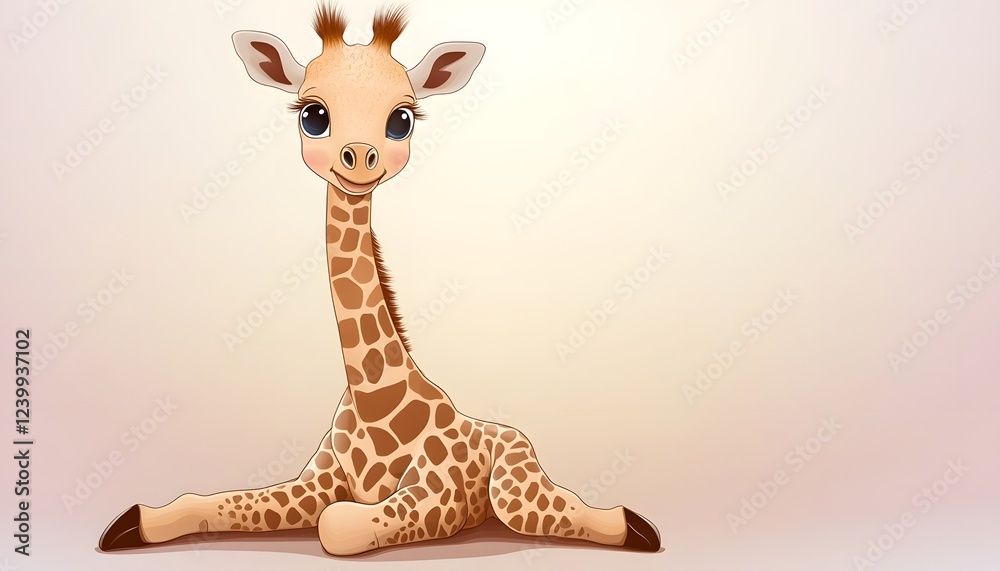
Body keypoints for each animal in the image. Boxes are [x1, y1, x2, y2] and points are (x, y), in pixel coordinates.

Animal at [98, 4, 660, 556]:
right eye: (313, 115)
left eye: (401, 120)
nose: (360, 157)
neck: (372, 402)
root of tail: (507, 432)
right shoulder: (313, 483)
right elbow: (218, 500)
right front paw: (129, 524)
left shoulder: (438, 498)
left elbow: (336, 526)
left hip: (511, 486)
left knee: (552, 509)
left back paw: (640, 527)